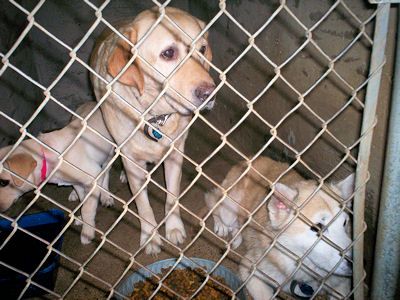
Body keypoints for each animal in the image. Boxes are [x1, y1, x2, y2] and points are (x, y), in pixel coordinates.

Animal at [0, 102, 115, 244]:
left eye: (3, 182)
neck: (46, 155)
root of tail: (93, 102)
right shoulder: (76, 182)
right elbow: (83, 199)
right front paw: (81, 217)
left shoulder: (93, 175)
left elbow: (87, 208)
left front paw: (87, 232)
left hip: (109, 153)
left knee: (106, 171)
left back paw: (106, 195)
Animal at [90, 6, 216, 253]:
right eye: (168, 53)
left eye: (202, 49)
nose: (210, 93)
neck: (156, 116)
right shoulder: (131, 161)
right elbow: (144, 206)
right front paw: (150, 237)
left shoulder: (176, 154)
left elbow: (172, 197)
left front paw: (174, 228)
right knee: (107, 165)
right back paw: (107, 192)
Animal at [206, 157, 354, 300]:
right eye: (317, 228)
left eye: (345, 222)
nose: (352, 263)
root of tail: (249, 160)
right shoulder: (250, 270)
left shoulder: (343, 285)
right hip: (228, 212)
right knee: (213, 202)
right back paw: (222, 226)